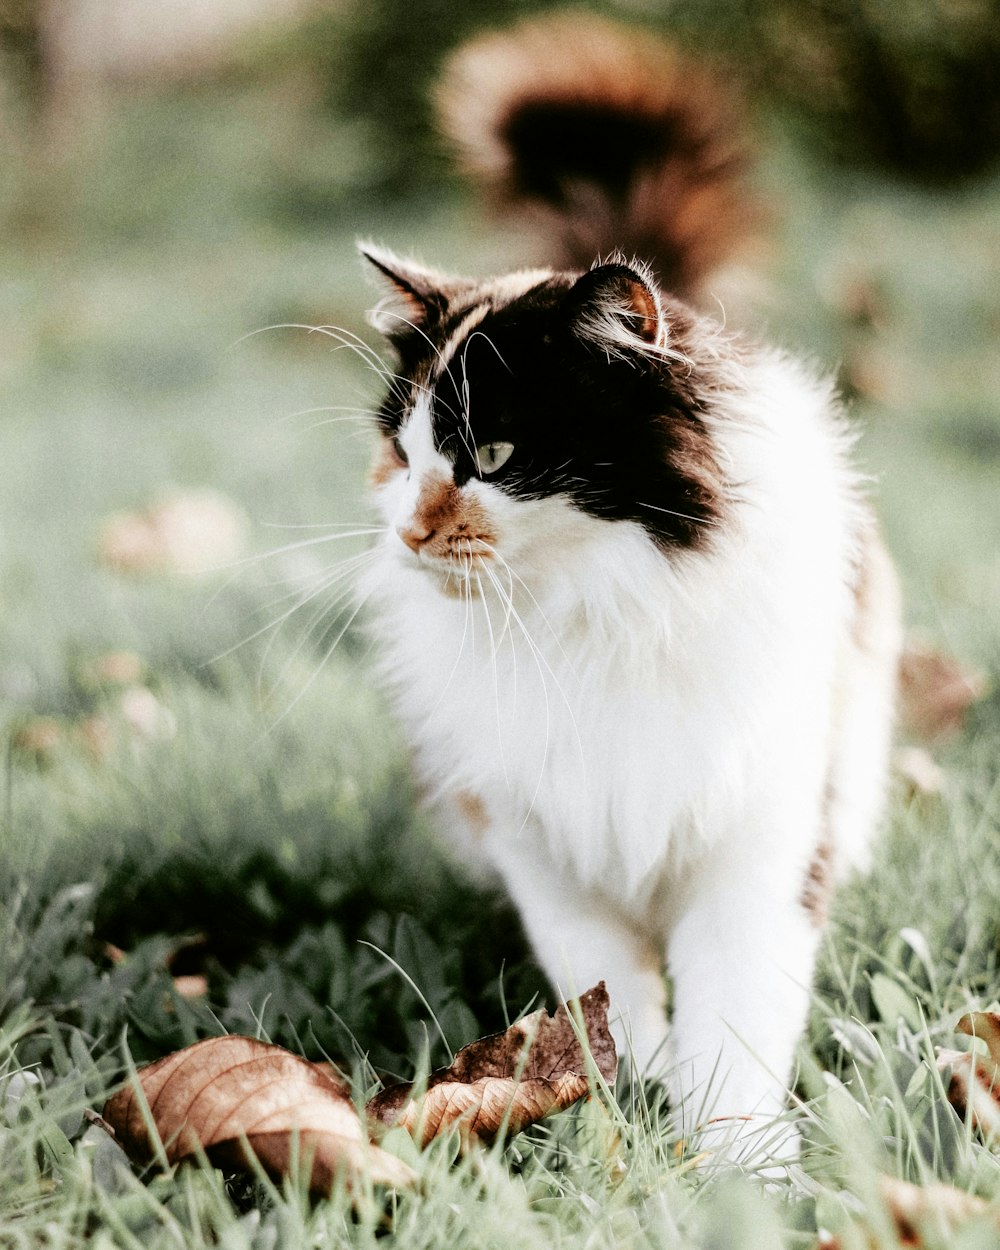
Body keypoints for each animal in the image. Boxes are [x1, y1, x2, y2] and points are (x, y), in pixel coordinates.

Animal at [355, 12, 900, 1160]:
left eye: (494, 454)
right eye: (404, 450)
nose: (412, 530)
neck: (595, 614)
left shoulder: (764, 835)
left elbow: (738, 1009)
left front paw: (735, 1157)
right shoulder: (541, 842)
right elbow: (605, 991)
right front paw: (626, 1106)